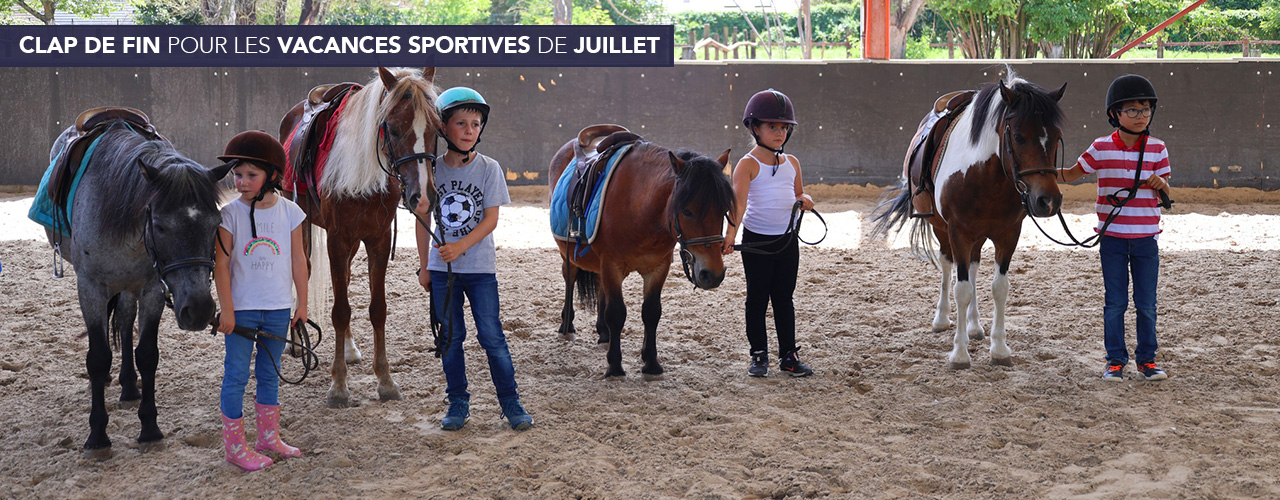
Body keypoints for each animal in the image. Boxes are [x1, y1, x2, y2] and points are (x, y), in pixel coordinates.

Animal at [48, 123, 232, 460]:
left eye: (217, 224)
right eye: (159, 226)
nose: (199, 310)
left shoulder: (151, 288)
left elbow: (147, 354)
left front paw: (149, 428)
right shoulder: (90, 287)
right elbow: (97, 358)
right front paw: (97, 436)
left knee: (123, 318)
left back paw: (130, 386)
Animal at [280, 66, 440, 406]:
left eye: (436, 128)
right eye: (392, 128)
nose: (422, 197)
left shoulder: (377, 239)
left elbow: (377, 309)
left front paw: (386, 380)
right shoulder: (336, 239)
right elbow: (340, 310)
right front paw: (339, 385)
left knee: (346, 278)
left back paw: (350, 348)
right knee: (304, 272)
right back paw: (296, 341)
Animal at [870, 73, 1070, 370]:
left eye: (1056, 137)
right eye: (1019, 137)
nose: (1048, 201)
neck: (985, 176)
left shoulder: (1008, 235)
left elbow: (999, 288)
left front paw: (999, 349)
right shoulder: (958, 233)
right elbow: (961, 289)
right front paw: (960, 354)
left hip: (979, 237)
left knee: (974, 267)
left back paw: (974, 326)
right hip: (941, 229)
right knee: (947, 265)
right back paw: (942, 319)